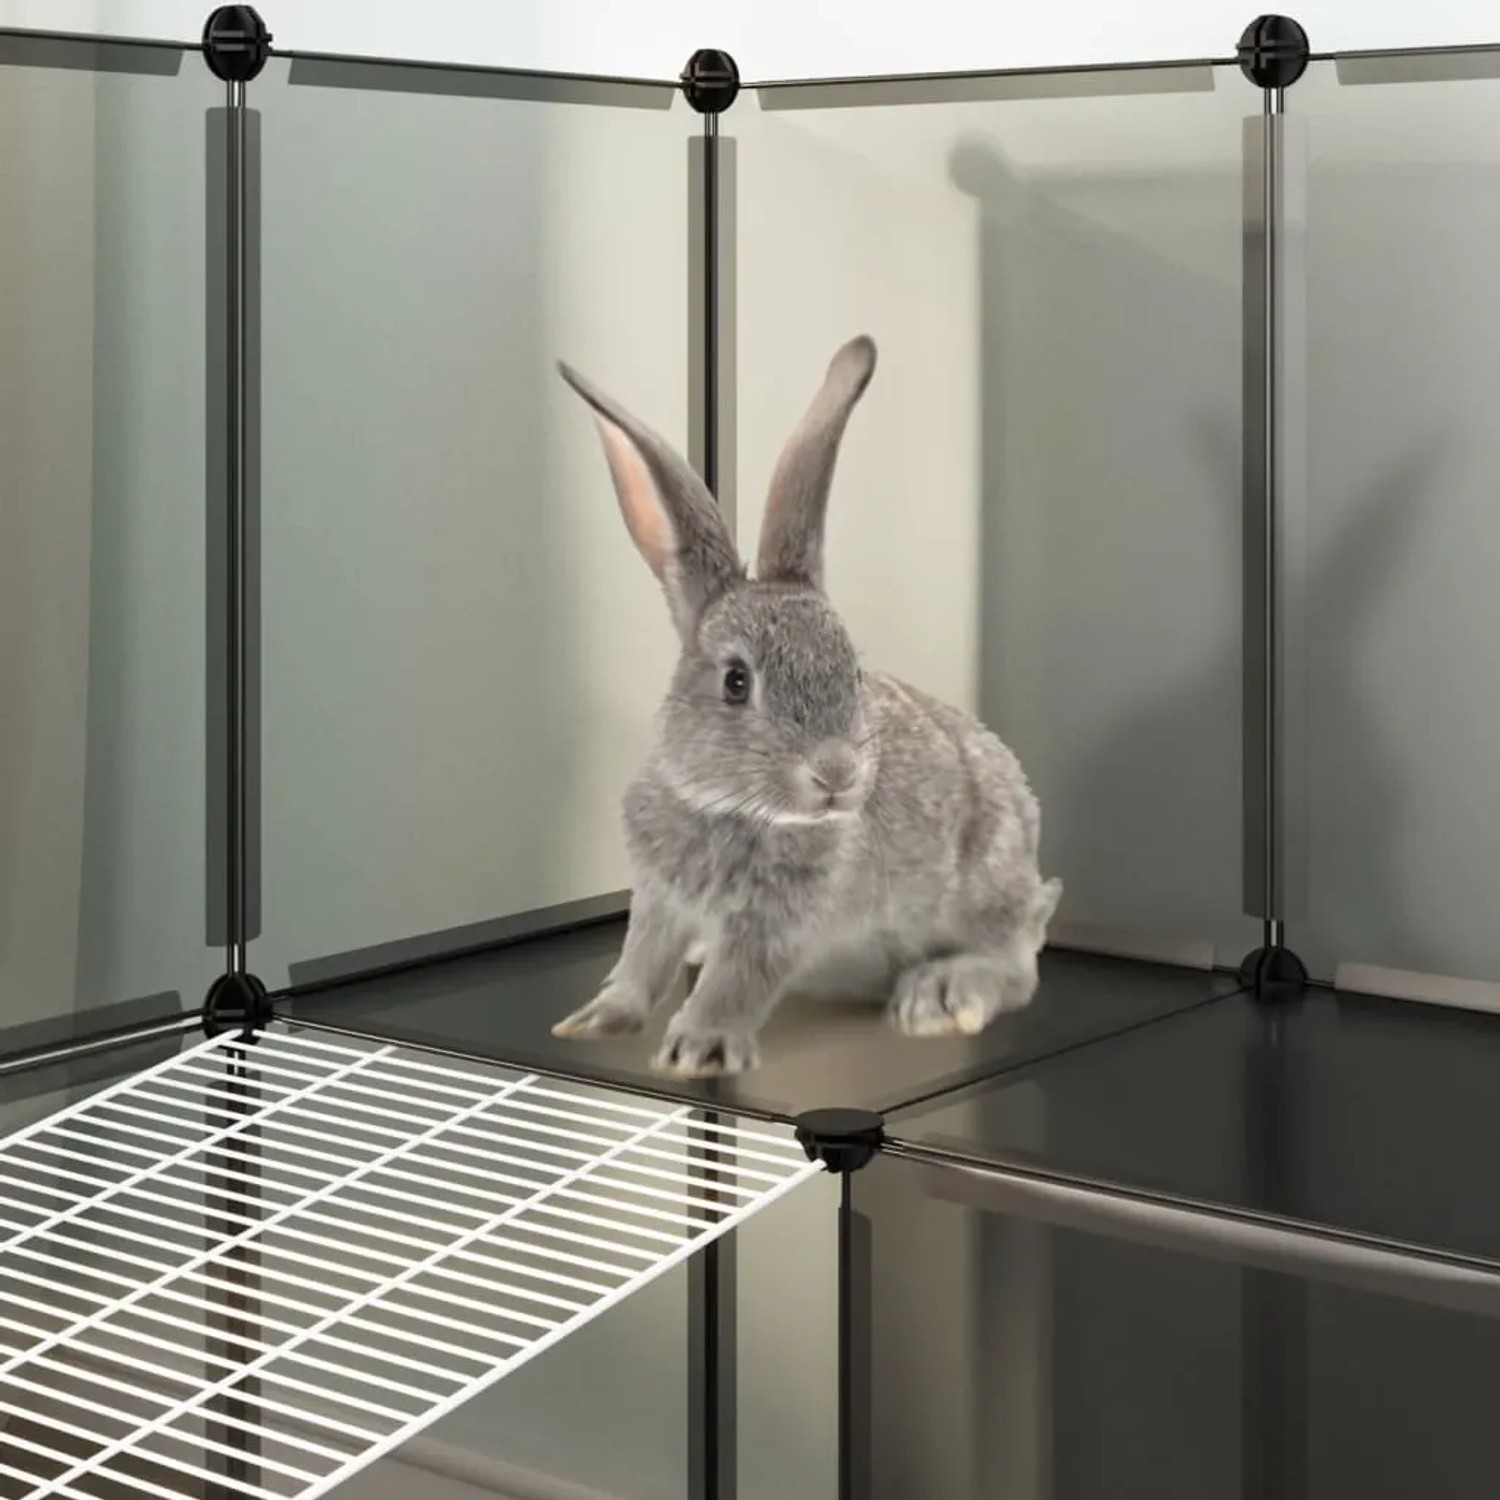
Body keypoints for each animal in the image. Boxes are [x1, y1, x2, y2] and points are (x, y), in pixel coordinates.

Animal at [551, 334, 1062, 1077]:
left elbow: (738, 980)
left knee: (1015, 967)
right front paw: (592, 1021)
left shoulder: (781, 921)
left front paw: (697, 1050)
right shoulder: (659, 900)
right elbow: (641, 963)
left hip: (987, 883)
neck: (730, 809)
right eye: (737, 681)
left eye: (853, 669)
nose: (837, 773)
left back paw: (937, 999)